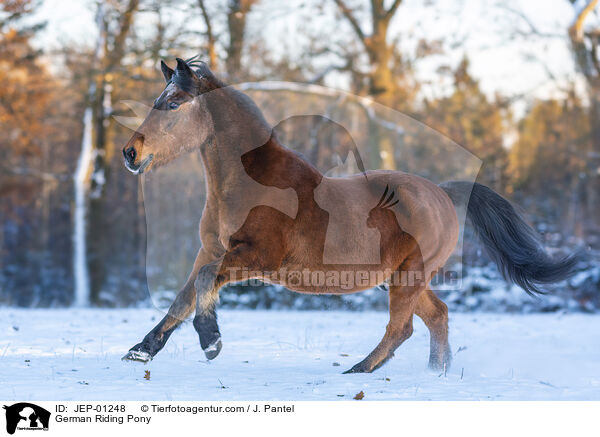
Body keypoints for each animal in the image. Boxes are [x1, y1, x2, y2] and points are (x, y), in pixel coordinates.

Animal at [120, 56, 576, 372]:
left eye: (173, 104)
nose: (130, 153)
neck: (247, 184)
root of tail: (443, 193)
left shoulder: (254, 258)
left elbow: (201, 287)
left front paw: (210, 341)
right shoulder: (212, 250)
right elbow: (183, 298)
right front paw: (141, 351)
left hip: (409, 276)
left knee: (403, 327)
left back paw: (362, 369)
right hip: (402, 277)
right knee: (437, 317)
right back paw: (436, 373)